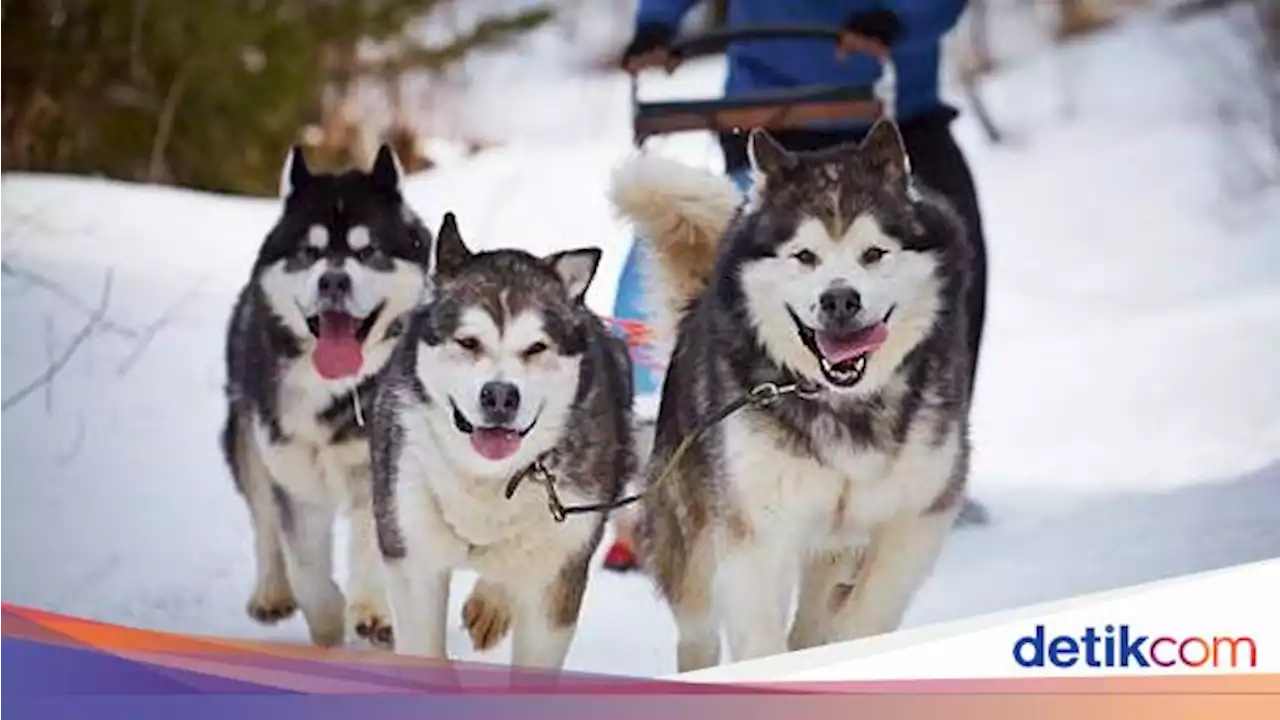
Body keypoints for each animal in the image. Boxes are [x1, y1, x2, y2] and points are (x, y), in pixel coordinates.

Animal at [222, 142, 432, 648]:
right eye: (310, 252)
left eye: (368, 250)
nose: (333, 281)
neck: (337, 392)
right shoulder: (295, 477)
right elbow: (305, 565)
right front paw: (327, 618)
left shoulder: (380, 472)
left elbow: (373, 548)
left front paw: (371, 611)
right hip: (247, 439)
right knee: (264, 522)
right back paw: (271, 592)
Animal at [368, 213, 632, 666]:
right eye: (468, 342)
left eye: (536, 347)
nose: (500, 396)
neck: (487, 480)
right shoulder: (412, 552)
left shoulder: (557, 574)